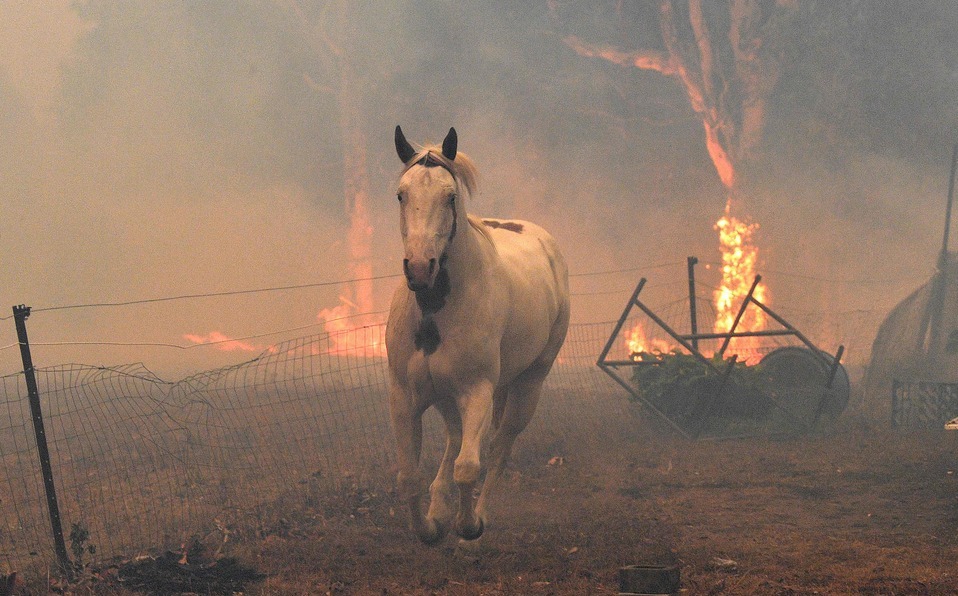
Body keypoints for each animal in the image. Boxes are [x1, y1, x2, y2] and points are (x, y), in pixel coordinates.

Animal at [388, 127, 568, 544]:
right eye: (402, 194)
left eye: (450, 196)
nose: (419, 268)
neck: (435, 312)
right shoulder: (405, 396)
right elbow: (409, 476)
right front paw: (429, 528)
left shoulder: (477, 392)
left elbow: (469, 466)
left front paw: (467, 525)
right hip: (447, 397)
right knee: (456, 439)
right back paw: (440, 506)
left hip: (527, 386)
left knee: (500, 447)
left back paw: (479, 514)